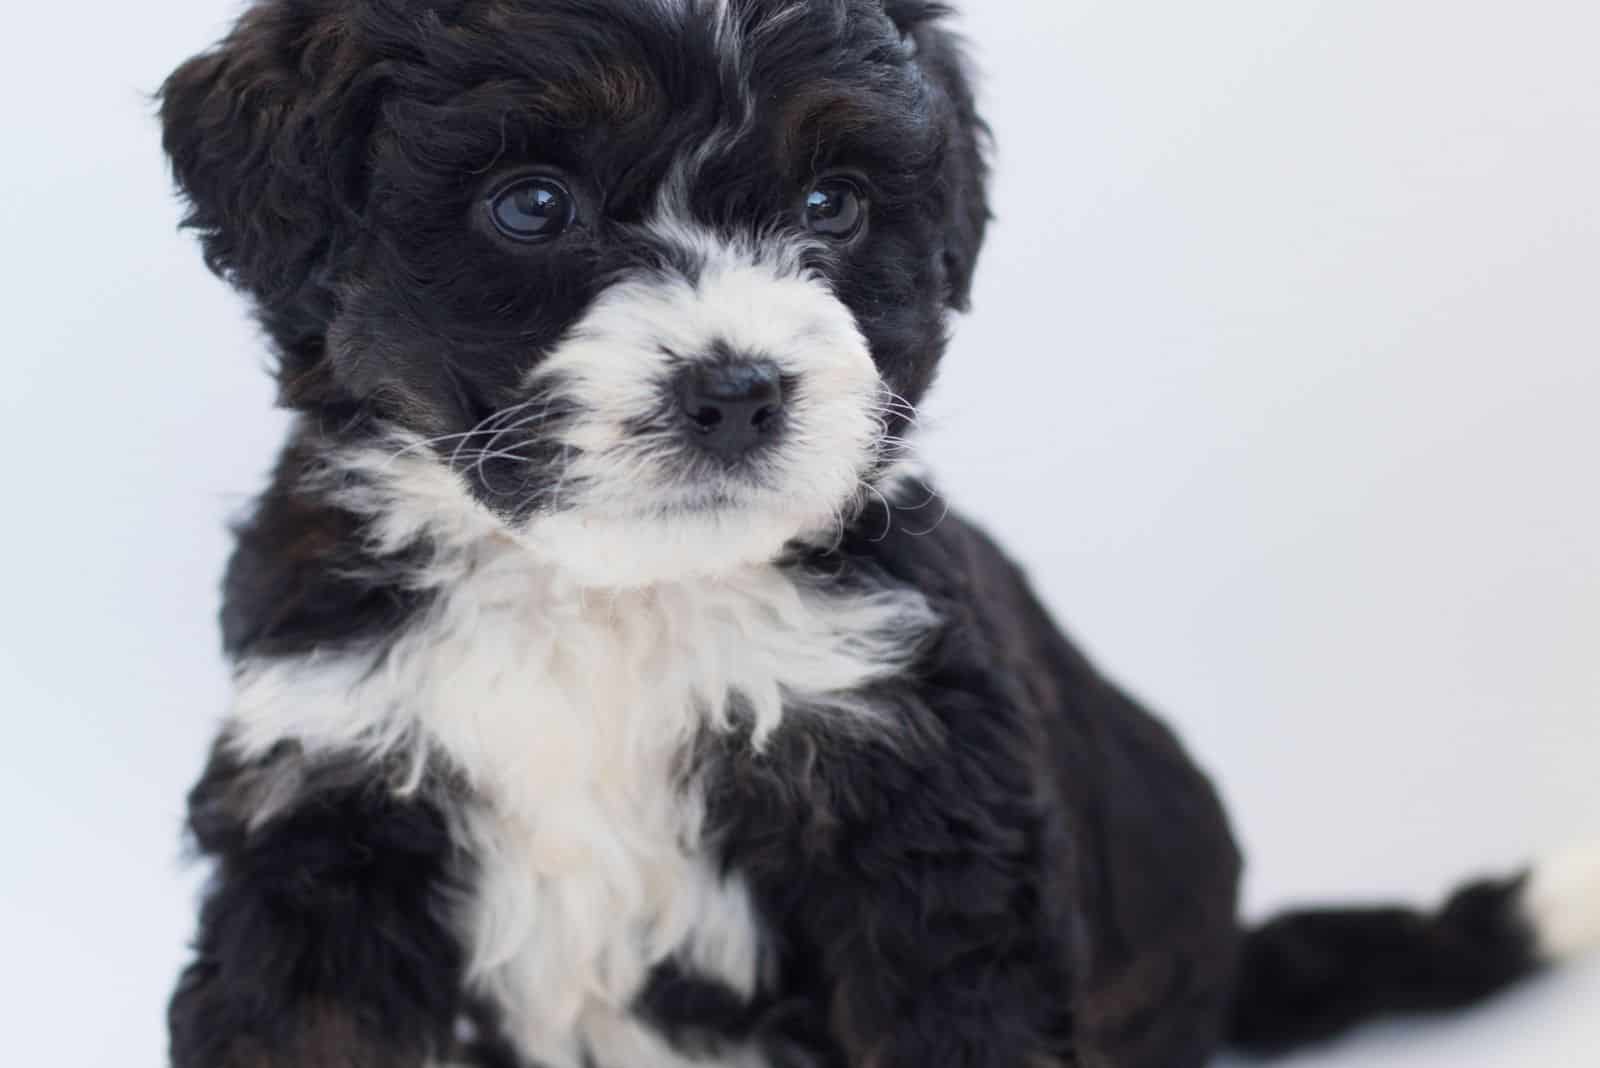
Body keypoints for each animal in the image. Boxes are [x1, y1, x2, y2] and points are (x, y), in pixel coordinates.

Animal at [152, 2, 1600, 1068]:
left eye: (830, 205)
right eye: (531, 204)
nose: (738, 390)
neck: (607, 599)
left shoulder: (924, 835)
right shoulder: (326, 815)